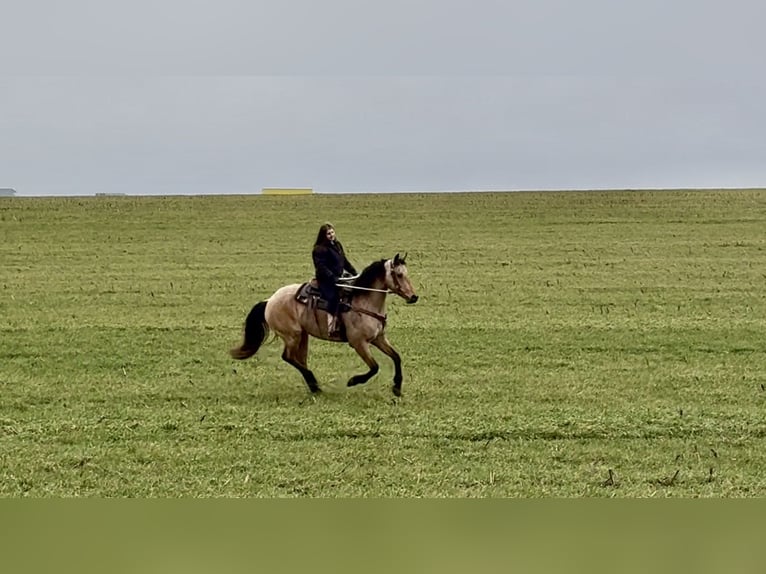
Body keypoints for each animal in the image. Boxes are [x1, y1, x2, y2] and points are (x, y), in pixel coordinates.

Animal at [230, 253, 418, 396]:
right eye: (399, 275)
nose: (414, 297)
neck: (363, 300)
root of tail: (269, 301)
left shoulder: (378, 338)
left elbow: (396, 357)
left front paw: (397, 388)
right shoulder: (358, 343)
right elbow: (374, 367)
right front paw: (352, 381)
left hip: (302, 336)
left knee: (299, 359)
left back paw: (314, 386)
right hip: (292, 335)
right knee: (288, 357)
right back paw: (314, 383)